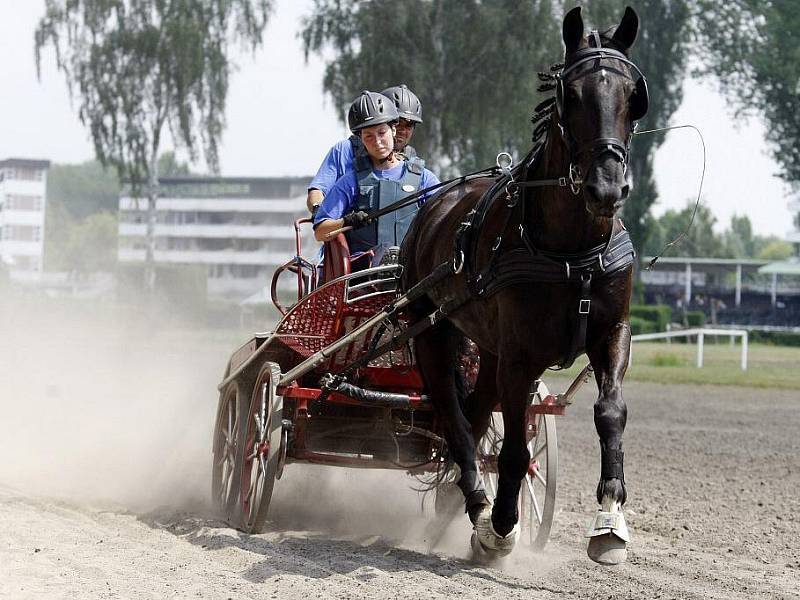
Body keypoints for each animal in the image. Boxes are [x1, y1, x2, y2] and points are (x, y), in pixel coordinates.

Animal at [404, 7, 648, 564]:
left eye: (633, 95)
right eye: (570, 95)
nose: (607, 187)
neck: (572, 254)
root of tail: (434, 205)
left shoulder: (612, 333)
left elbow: (611, 412)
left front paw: (610, 520)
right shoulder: (520, 355)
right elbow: (514, 446)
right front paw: (501, 524)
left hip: (489, 348)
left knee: (475, 418)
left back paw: (459, 505)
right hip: (431, 329)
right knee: (456, 420)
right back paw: (479, 506)